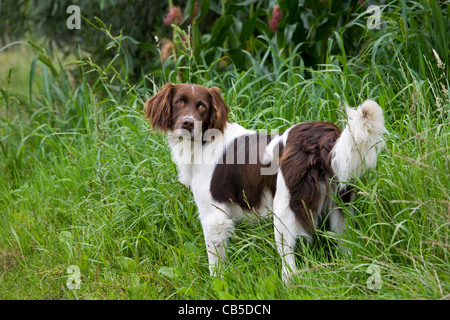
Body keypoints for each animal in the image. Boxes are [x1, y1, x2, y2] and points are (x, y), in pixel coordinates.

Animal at [145, 83, 386, 282]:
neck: (205, 140)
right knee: (346, 244)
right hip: (341, 208)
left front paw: (215, 285)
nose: (187, 123)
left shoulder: (214, 216)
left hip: (284, 213)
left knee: (289, 268)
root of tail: (322, 139)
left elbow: (216, 263)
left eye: (202, 106)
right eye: (179, 102)